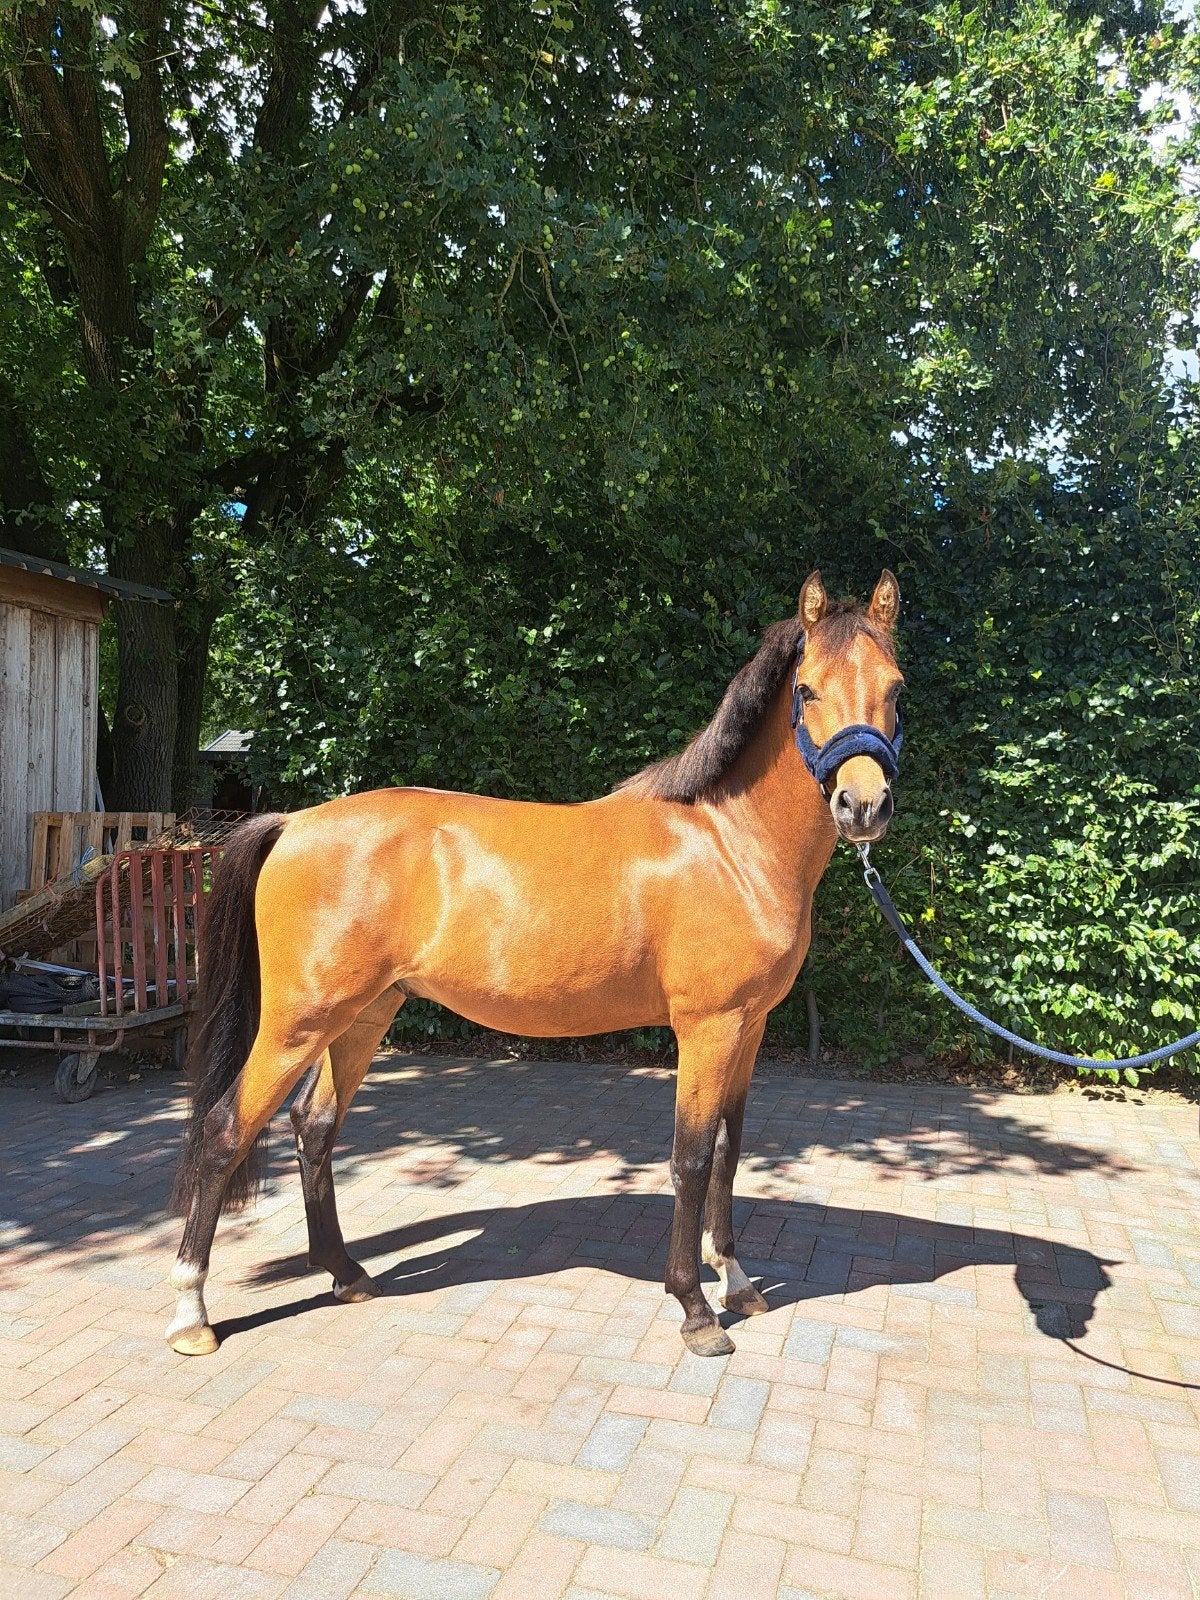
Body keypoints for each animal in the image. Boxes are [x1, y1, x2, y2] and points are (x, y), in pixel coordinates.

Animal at [167, 570, 904, 1359]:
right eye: (808, 691)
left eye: (896, 688)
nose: (863, 805)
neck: (728, 842)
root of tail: (292, 824)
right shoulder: (708, 1029)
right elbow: (692, 1159)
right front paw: (697, 1311)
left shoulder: (750, 1029)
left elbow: (729, 1156)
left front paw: (736, 1283)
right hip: (297, 1022)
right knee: (224, 1131)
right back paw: (191, 1315)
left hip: (365, 1013)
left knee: (314, 1127)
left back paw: (346, 1273)